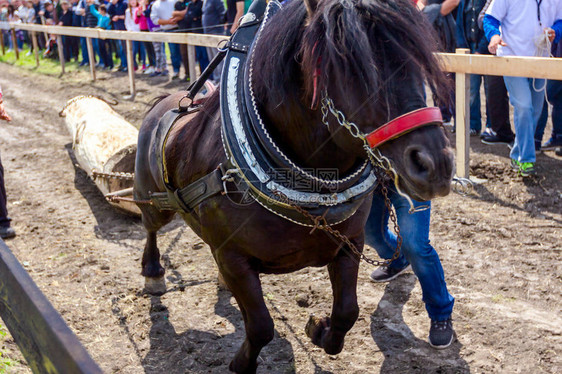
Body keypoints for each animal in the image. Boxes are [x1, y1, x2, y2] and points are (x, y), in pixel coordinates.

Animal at [136, 0, 456, 372]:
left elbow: (348, 311)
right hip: (152, 199)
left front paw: (319, 330)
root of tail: (164, 102)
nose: (435, 165)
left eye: (417, 58)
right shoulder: (232, 256)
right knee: (150, 226)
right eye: (348, 64)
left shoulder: (350, 243)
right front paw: (241, 364)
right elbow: (261, 326)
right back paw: (153, 274)